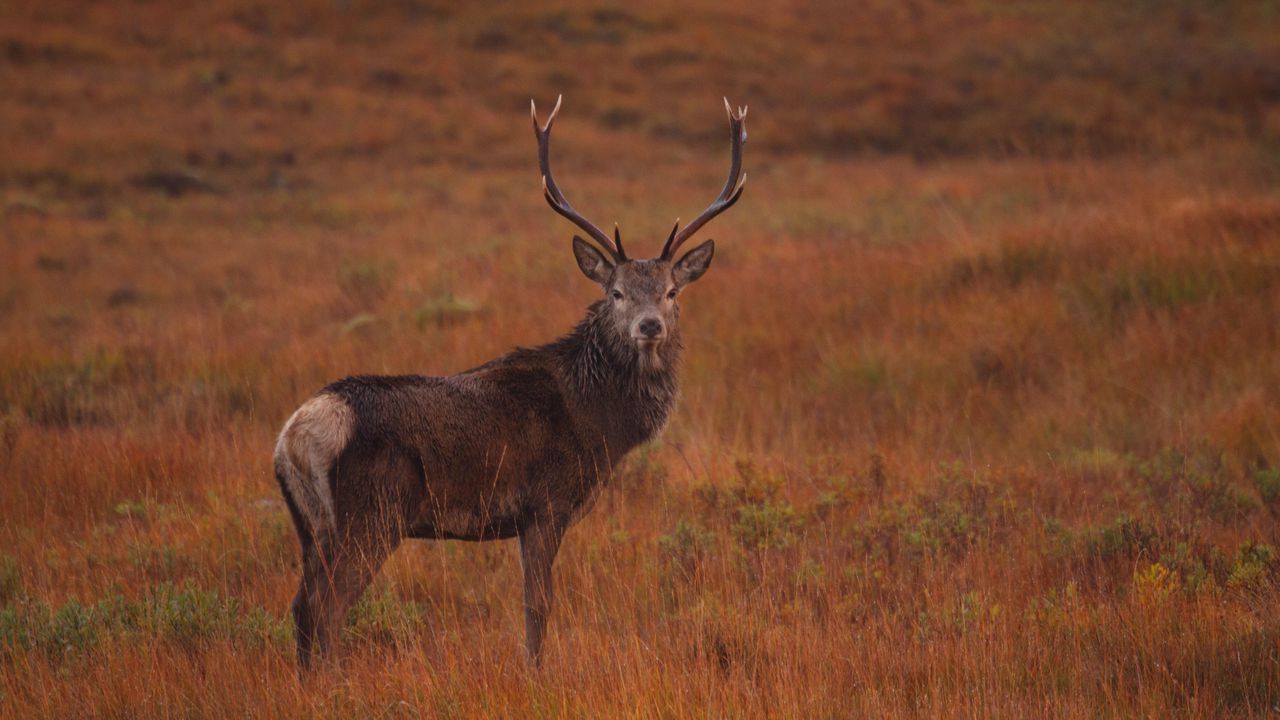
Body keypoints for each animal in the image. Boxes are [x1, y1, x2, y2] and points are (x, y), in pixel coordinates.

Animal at [275, 95, 747, 666]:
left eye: (672, 290)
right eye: (616, 292)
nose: (649, 325)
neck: (600, 426)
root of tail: (294, 437)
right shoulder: (545, 503)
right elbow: (537, 606)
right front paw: (535, 671)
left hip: (309, 525)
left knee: (301, 606)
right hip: (370, 513)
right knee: (326, 608)